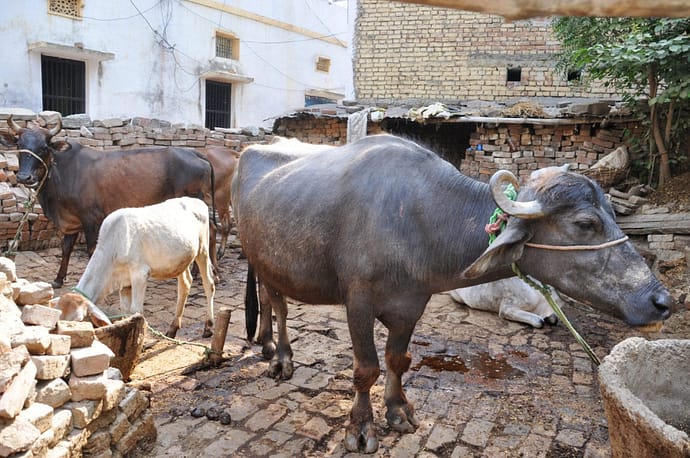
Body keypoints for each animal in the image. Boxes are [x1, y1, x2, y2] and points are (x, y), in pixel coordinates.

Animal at [0, 114, 216, 286]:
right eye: (19, 145)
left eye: (44, 147)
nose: (24, 177)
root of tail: (195, 153)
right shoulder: (71, 221)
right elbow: (66, 249)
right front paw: (58, 279)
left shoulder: (91, 220)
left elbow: (91, 251)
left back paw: (200, 272)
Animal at [58, 195, 215, 338]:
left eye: (78, 320)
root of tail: (197, 201)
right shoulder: (125, 282)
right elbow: (125, 311)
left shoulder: (140, 275)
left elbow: (136, 310)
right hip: (181, 259)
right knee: (185, 284)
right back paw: (173, 328)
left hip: (203, 250)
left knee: (209, 284)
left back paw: (208, 327)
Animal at [228, 134, 668, 452]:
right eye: (585, 223)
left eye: (612, 215)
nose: (660, 301)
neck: (418, 219)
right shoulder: (358, 303)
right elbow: (366, 368)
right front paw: (361, 428)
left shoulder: (411, 305)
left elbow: (398, 360)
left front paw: (399, 412)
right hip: (262, 260)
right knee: (278, 306)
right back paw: (281, 357)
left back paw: (266, 345)